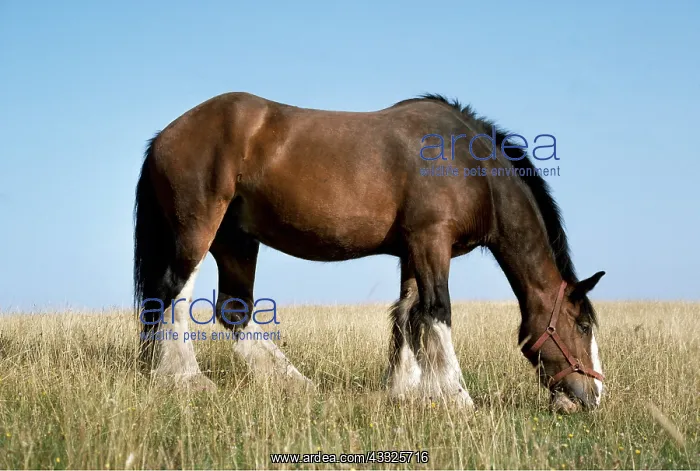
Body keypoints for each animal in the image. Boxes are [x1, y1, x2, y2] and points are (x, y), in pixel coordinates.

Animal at [133, 92, 606, 412]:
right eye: (582, 326)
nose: (593, 396)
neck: (470, 165)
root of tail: (165, 135)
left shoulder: (413, 250)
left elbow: (407, 315)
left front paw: (405, 390)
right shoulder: (432, 240)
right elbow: (436, 311)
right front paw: (456, 396)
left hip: (237, 240)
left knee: (234, 310)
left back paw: (295, 383)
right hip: (199, 230)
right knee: (175, 296)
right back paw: (187, 378)